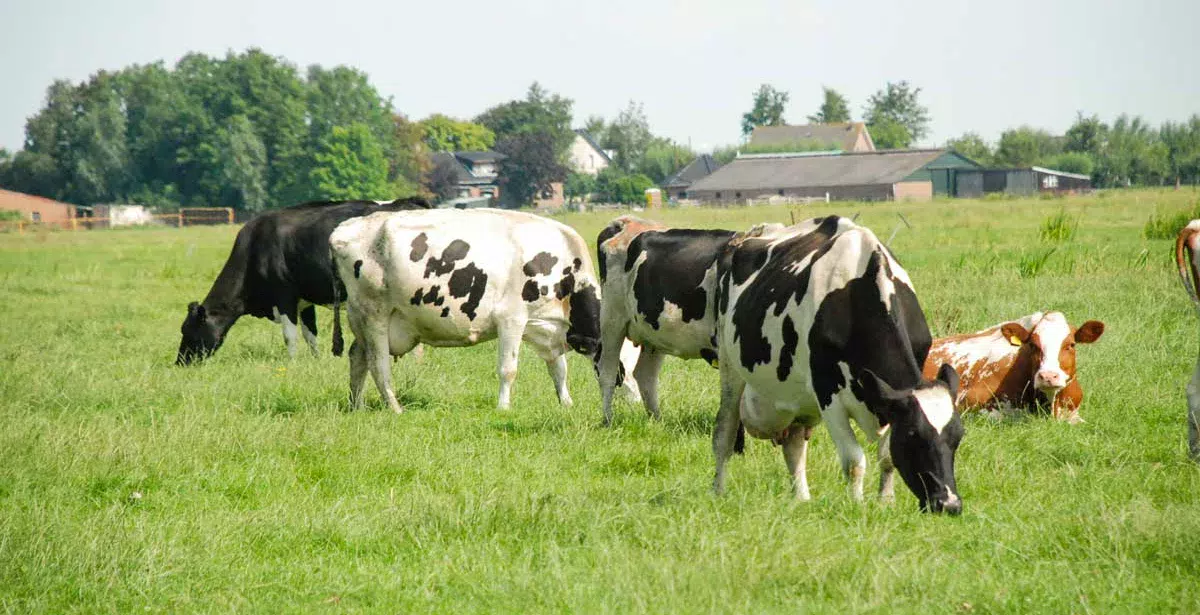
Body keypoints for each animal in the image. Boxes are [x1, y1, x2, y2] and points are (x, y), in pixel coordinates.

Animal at [175, 195, 434, 365]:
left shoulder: (284, 296)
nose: (180, 363)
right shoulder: (305, 300)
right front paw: (316, 361)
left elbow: (290, 336)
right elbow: (311, 335)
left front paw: (292, 363)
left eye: (188, 331)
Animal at [324, 207, 633, 413]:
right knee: (378, 364)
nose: (636, 402)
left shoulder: (547, 327)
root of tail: (344, 230)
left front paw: (566, 403)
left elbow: (558, 369)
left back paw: (356, 406)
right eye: (625, 366)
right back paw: (395, 408)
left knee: (357, 358)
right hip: (374, 314)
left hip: (364, 321)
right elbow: (508, 369)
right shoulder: (512, 319)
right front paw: (504, 407)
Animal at [710, 216, 964, 514]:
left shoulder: (887, 397)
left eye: (958, 436)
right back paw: (718, 491)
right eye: (913, 435)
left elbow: (887, 456)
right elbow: (854, 460)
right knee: (724, 433)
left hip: (795, 396)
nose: (949, 504)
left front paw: (886, 501)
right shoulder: (827, 392)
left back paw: (802, 498)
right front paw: (857, 505)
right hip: (729, 365)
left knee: (794, 444)